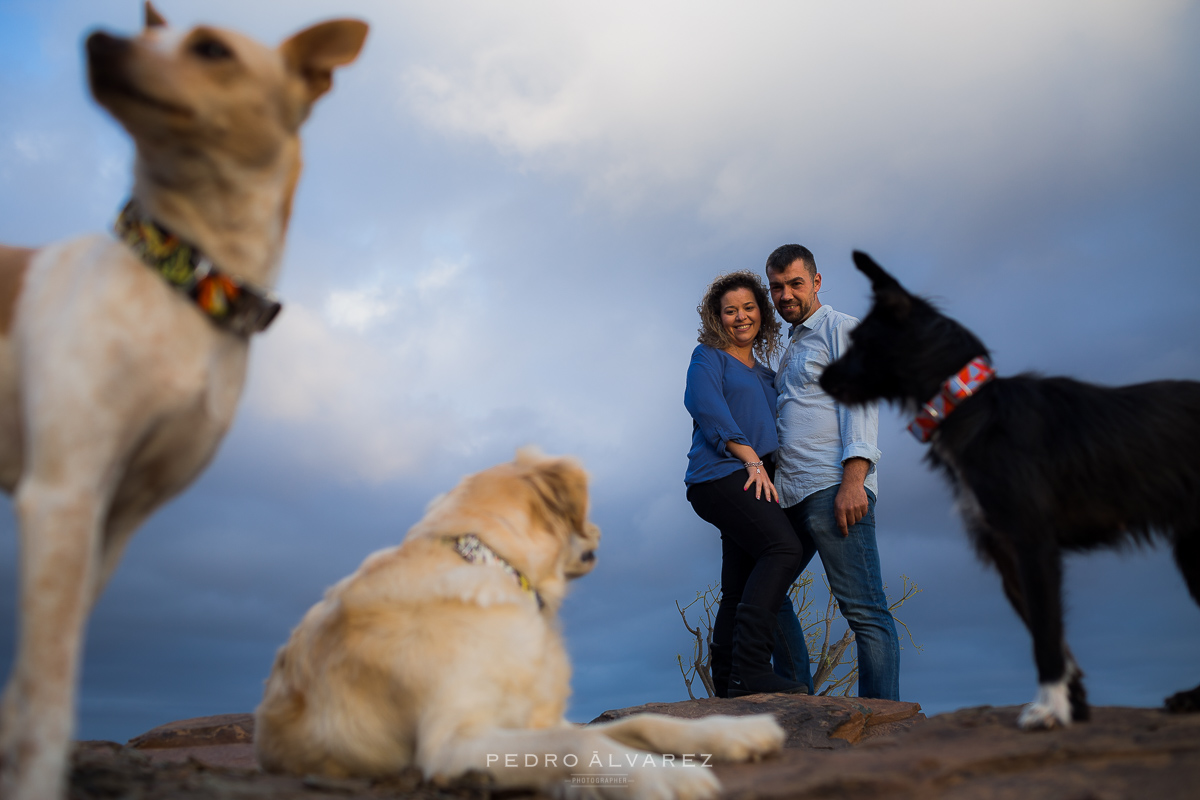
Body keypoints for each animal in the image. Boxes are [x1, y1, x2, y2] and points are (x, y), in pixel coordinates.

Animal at [0, 6, 367, 800]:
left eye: (210, 49)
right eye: (144, 33)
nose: (98, 40)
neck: (188, 280)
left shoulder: (116, 514)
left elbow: (38, 674)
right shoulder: (64, 491)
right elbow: (47, 689)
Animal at [255, 450, 787, 800]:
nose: (601, 530)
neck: (496, 567)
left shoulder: (540, 718)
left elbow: (646, 720)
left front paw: (734, 733)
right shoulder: (454, 744)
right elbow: (583, 738)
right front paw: (663, 777)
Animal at [820, 251, 1200, 734]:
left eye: (859, 340)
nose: (820, 377)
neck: (971, 404)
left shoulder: (1031, 544)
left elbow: (1046, 635)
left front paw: (1050, 709)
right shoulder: (1004, 553)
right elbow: (1050, 634)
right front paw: (1074, 705)